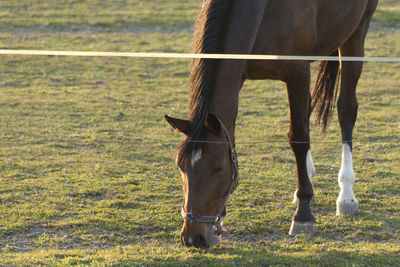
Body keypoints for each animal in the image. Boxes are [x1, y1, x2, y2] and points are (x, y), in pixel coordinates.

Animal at [165, 0, 378, 249]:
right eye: (181, 166)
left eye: (218, 168)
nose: (193, 238)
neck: (263, 11)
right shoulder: (239, 75)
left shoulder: (297, 72)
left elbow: (299, 138)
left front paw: (303, 215)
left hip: (356, 34)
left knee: (346, 110)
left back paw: (345, 195)